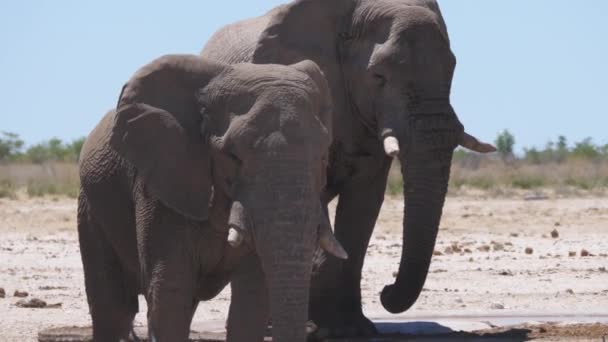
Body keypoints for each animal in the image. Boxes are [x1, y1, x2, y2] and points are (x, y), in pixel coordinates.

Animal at [76, 54, 350, 340]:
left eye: (322, 156)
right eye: (233, 156)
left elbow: (251, 299)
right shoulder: (160, 182)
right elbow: (170, 293)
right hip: (91, 206)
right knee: (111, 308)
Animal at [202, 0, 496, 336]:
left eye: (452, 70)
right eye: (378, 76)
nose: (386, 292)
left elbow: (364, 204)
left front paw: (351, 329)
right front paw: (318, 328)